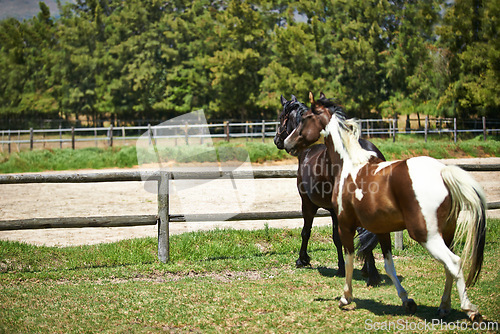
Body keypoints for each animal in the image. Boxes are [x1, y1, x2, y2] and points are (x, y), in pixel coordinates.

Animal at [276, 95, 384, 286]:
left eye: (282, 117)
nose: (279, 140)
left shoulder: (308, 204)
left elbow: (307, 232)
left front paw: (302, 259)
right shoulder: (334, 210)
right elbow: (337, 237)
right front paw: (342, 266)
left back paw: (372, 274)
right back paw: (369, 270)